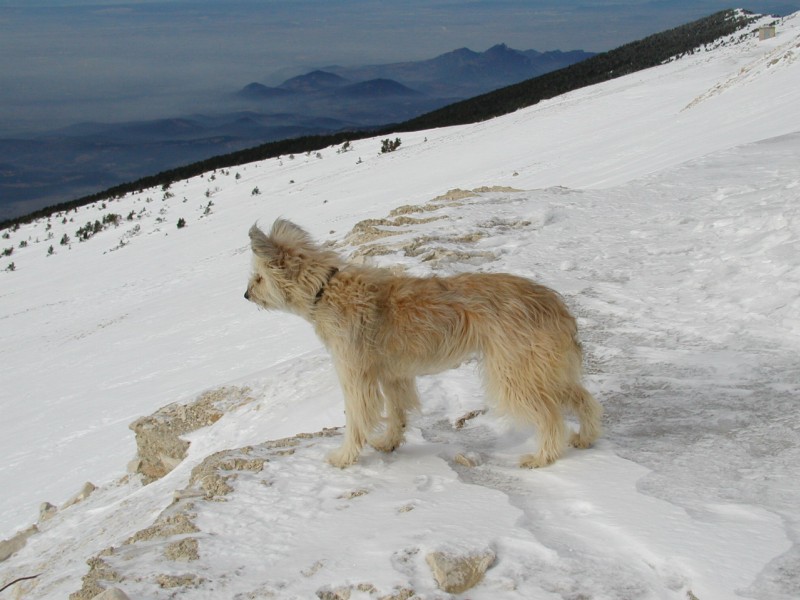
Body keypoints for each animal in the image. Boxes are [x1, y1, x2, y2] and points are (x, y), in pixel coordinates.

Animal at [244, 220, 600, 468]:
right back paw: (585, 436)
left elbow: (357, 418)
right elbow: (397, 413)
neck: (324, 289)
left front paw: (344, 457)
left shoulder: (355, 376)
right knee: (583, 399)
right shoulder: (393, 375)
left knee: (549, 415)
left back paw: (543, 457)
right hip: (541, 368)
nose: (245, 295)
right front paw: (389, 442)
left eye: (259, 278)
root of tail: (552, 302)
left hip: (513, 372)